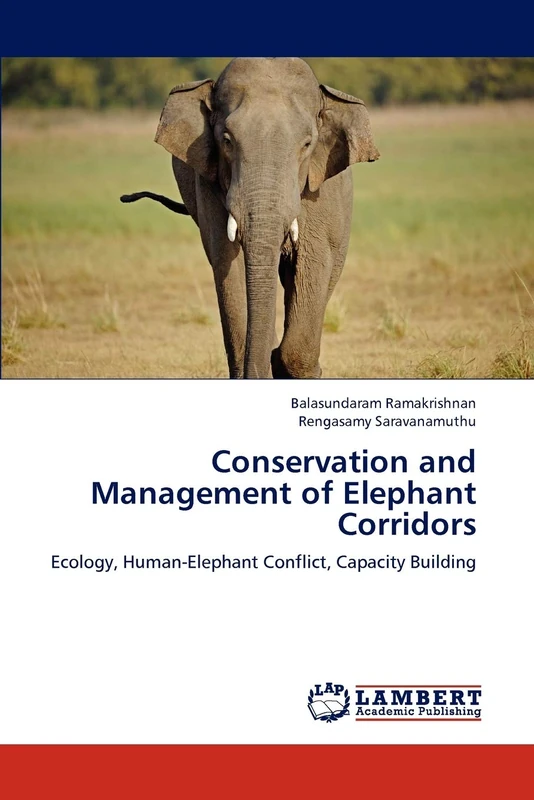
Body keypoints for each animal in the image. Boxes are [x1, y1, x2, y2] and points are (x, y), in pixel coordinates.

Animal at [121, 57, 379, 378]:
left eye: (307, 144)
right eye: (227, 140)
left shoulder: (321, 191)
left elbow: (314, 261)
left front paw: (291, 364)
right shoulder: (209, 185)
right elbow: (227, 261)